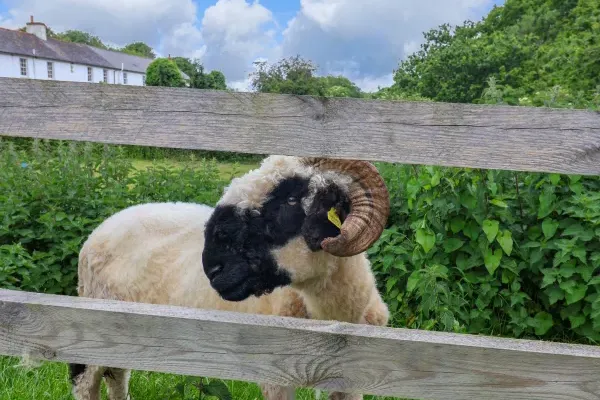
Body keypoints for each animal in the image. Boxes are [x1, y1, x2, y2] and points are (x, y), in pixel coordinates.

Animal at [70, 155, 392, 400]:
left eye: (291, 199)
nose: (212, 267)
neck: (333, 318)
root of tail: (104, 227)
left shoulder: (352, 377)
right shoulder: (275, 373)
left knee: (117, 378)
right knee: (85, 383)